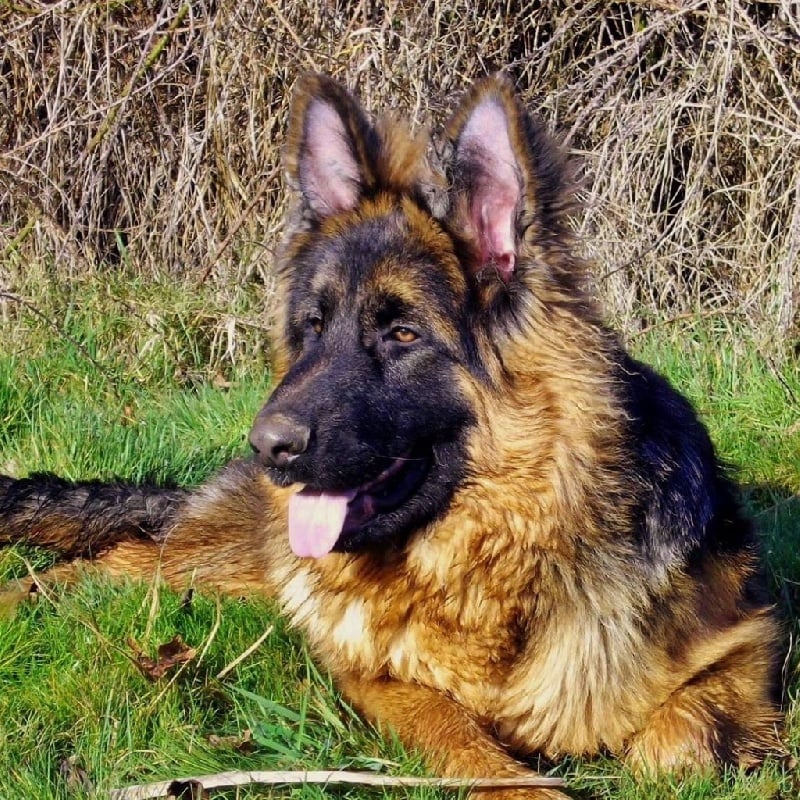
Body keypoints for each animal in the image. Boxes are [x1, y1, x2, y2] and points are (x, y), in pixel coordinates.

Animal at [0, 74, 784, 798]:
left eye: (403, 334)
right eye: (314, 327)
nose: (268, 447)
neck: (496, 556)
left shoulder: (745, 643)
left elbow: (675, 751)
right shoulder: (379, 678)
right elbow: (461, 739)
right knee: (107, 563)